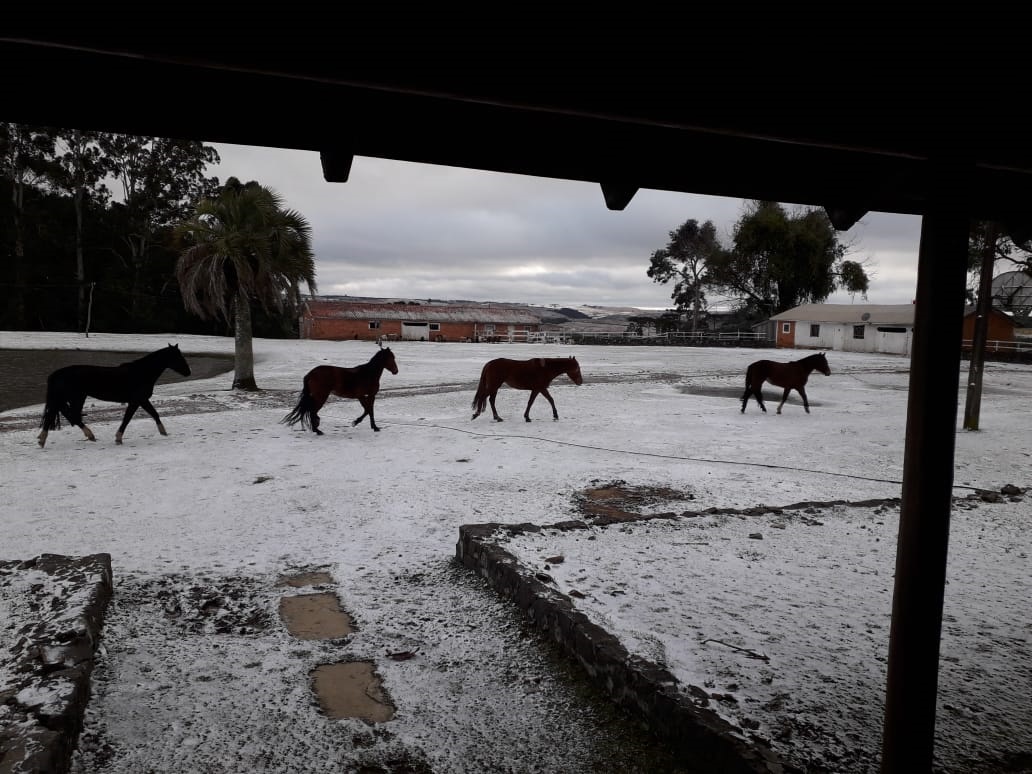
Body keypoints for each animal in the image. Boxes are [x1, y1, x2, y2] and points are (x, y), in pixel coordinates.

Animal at [36, 344, 194, 447]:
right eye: (178, 357)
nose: (188, 372)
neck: (142, 373)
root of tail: (57, 373)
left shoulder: (141, 400)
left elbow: (154, 414)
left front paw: (164, 432)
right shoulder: (136, 400)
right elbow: (127, 419)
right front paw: (118, 438)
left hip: (75, 397)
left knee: (66, 413)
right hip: (74, 397)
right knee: (64, 413)